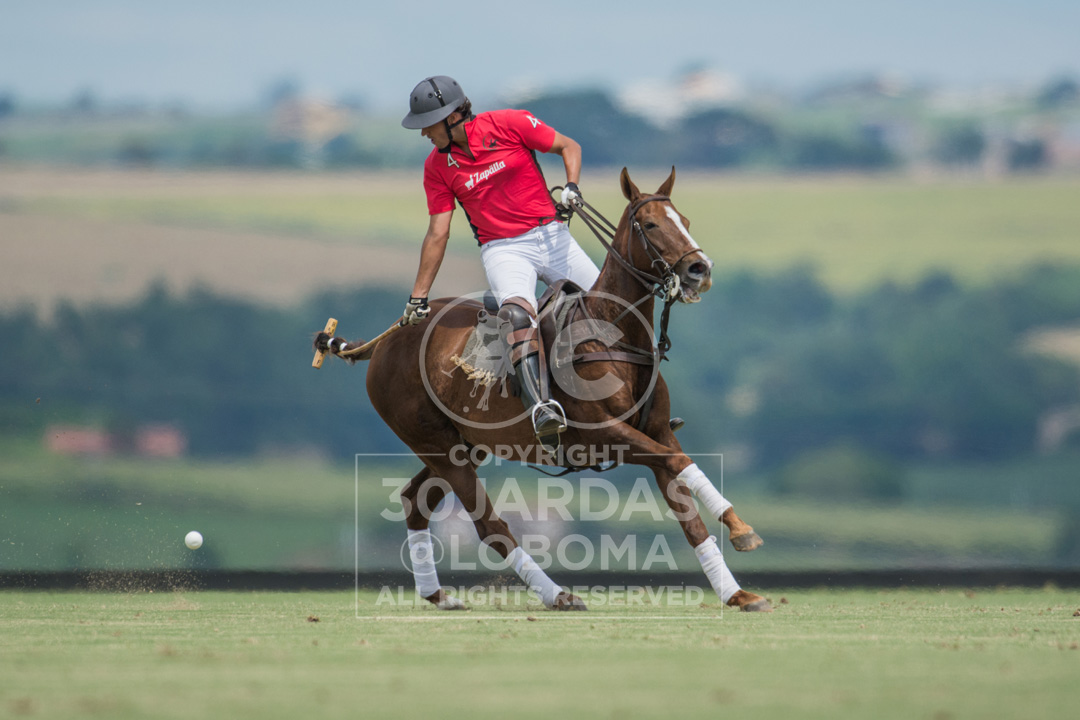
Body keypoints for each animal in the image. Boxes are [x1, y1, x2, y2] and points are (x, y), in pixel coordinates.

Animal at [315, 169, 773, 613]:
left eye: (686, 221)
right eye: (650, 224)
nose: (700, 269)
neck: (617, 336)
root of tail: (385, 341)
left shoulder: (657, 431)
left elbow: (688, 511)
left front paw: (738, 592)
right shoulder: (606, 434)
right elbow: (681, 461)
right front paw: (742, 529)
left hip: (463, 445)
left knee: (415, 500)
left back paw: (439, 595)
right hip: (435, 444)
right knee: (490, 525)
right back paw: (558, 595)